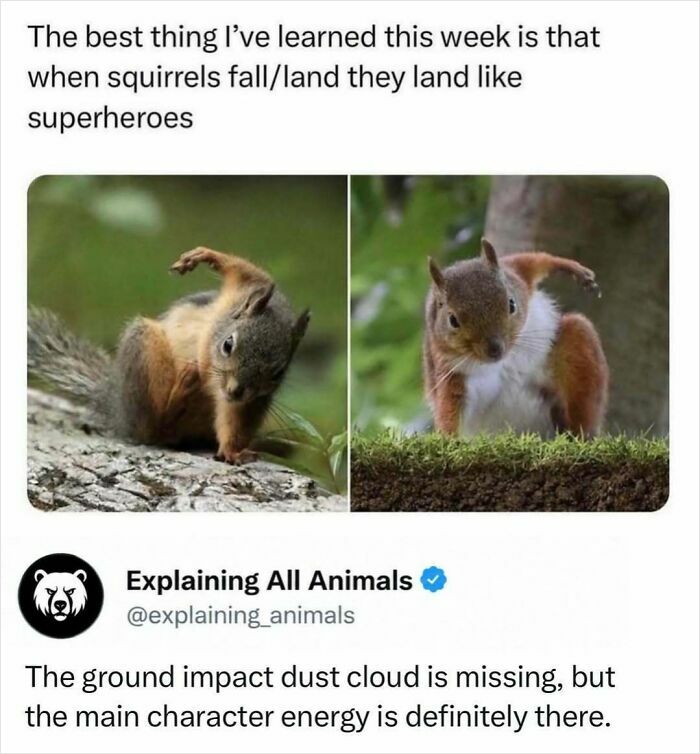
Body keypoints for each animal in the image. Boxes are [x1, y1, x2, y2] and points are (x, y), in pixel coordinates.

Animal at [28, 247, 310, 464]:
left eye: (278, 373)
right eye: (228, 345)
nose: (235, 391)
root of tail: (118, 409)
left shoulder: (246, 403)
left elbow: (234, 421)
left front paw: (233, 451)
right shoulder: (249, 285)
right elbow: (245, 269)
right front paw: (201, 256)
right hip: (143, 345)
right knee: (154, 426)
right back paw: (182, 387)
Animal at [423, 238, 608, 438]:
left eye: (511, 304)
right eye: (452, 320)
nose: (495, 349)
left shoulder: (516, 273)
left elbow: (534, 261)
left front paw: (575, 269)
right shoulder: (452, 374)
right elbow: (449, 409)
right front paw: (448, 438)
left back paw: (580, 433)